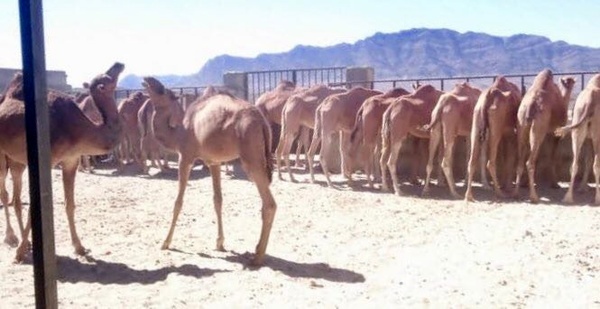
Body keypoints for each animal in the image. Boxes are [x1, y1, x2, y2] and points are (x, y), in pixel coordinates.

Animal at [0, 62, 124, 260]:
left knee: (16, 198)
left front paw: (79, 247)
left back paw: (25, 242)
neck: (79, 129)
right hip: (2, 156)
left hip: (17, 160)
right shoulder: (48, 161)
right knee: (4, 192)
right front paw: (19, 253)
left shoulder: (71, 161)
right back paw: (12, 238)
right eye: (107, 78)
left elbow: (70, 204)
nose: (119, 65)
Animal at [143, 76, 276, 264]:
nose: (147, 80)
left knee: (269, 204)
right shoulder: (214, 162)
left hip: (251, 158)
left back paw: (257, 257)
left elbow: (178, 201)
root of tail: (261, 121)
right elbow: (217, 200)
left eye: (163, 91)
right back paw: (257, 251)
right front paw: (219, 243)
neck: (178, 133)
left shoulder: (185, 157)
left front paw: (166, 242)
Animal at [510, 70, 576, 202]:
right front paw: (555, 184)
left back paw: (516, 193)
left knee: (521, 160)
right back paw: (534, 197)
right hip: (538, 127)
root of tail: (531, 105)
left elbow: (539, 156)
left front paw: (525, 183)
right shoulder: (555, 133)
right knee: (529, 162)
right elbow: (552, 156)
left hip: (522, 125)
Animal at [552, 73, 600, 203]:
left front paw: (583, 188)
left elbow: (588, 161)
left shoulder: (588, 138)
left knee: (575, 164)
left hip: (579, 123)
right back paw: (597, 199)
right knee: (596, 164)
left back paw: (568, 198)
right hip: (596, 131)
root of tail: (591, 100)